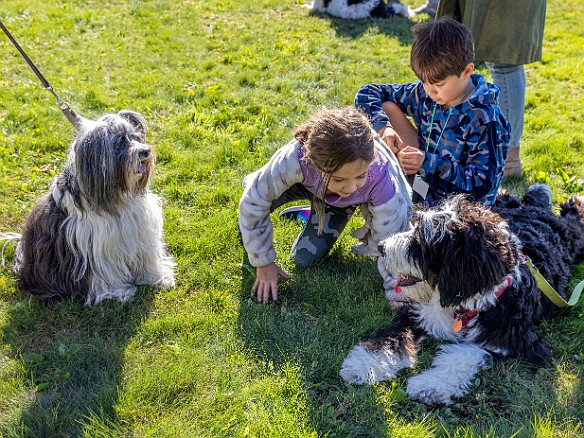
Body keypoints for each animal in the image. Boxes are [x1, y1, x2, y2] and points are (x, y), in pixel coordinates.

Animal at [0, 110, 175, 304]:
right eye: (120, 141)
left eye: (136, 136)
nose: (145, 151)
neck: (116, 195)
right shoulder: (96, 244)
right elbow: (103, 273)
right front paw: (117, 292)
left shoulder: (142, 228)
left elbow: (148, 257)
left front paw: (159, 277)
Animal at [338, 184, 584, 404]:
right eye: (414, 226)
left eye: (421, 242)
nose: (382, 247)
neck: (459, 302)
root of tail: (539, 212)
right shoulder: (414, 314)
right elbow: (391, 338)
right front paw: (364, 365)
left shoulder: (512, 340)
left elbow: (464, 355)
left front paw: (431, 386)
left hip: (575, 236)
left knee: (574, 216)